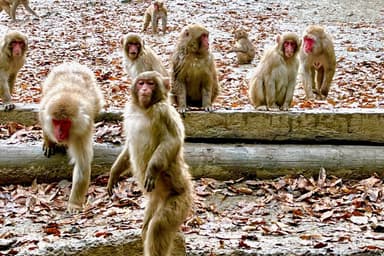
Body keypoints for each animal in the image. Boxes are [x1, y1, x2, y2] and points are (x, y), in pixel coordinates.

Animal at [107, 70, 192, 256]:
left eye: (151, 83)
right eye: (141, 83)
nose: (145, 89)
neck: (143, 109)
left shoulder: (163, 112)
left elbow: (172, 140)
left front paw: (152, 169)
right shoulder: (130, 111)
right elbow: (129, 146)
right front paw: (114, 173)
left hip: (180, 200)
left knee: (158, 226)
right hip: (154, 201)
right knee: (147, 228)